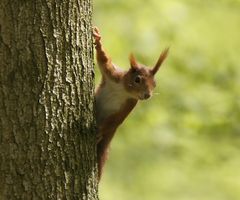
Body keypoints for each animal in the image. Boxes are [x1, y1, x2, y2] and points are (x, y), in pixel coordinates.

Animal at [92, 27, 169, 180]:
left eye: (155, 84)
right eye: (137, 79)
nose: (147, 95)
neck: (123, 91)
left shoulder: (129, 105)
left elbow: (116, 119)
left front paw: (99, 130)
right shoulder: (113, 75)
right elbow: (104, 60)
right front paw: (98, 39)